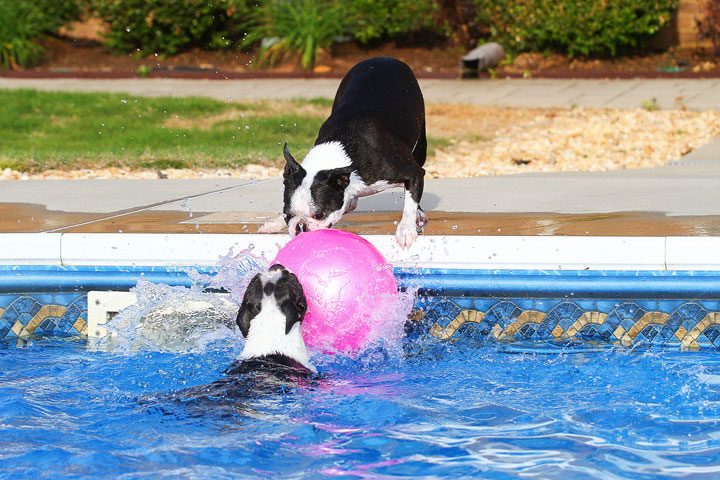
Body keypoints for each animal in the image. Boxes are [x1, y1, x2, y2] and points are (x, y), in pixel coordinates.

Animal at [258, 57, 428, 248]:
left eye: (319, 215)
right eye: (287, 215)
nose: (301, 227)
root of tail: (385, 58)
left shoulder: (411, 172)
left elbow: (410, 200)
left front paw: (406, 228)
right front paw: (275, 223)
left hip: (420, 144)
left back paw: (418, 214)